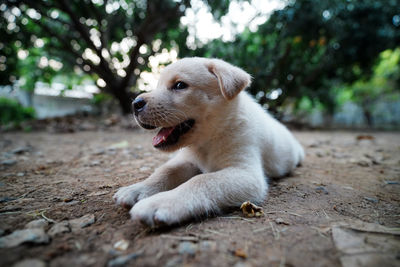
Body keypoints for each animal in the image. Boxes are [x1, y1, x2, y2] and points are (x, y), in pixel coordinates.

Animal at [114, 57, 304, 227]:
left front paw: (161, 203)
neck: (208, 141)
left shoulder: (247, 173)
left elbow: (201, 180)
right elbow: (166, 171)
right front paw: (137, 189)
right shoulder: (187, 160)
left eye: (180, 85)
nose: (135, 104)